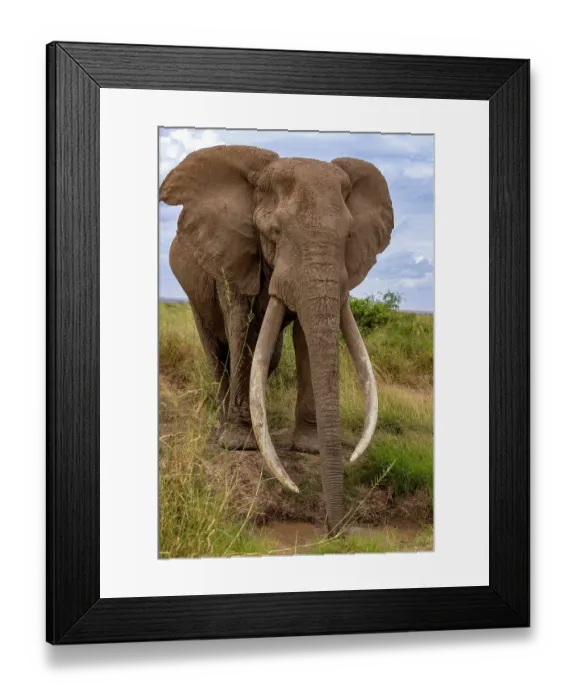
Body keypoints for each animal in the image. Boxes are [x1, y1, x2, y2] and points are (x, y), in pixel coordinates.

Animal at [160, 145, 394, 530]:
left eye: (348, 236)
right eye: (274, 232)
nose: (335, 529)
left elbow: (302, 336)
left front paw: (309, 448)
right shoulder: (232, 254)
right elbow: (239, 323)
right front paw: (239, 445)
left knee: (268, 357)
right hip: (193, 291)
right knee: (217, 354)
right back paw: (223, 427)